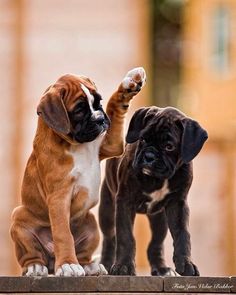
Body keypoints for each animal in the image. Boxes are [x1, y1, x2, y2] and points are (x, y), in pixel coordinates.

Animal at [10, 67, 146, 278]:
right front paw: (67, 264)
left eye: (98, 102)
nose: (100, 119)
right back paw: (36, 267)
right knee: (30, 255)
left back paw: (90, 266)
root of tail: (51, 261)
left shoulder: (111, 144)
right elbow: (63, 234)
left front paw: (129, 85)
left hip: (90, 222)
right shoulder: (59, 198)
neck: (74, 144)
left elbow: (115, 109)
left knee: (83, 253)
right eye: (79, 110)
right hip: (19, 215)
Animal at [98, 107, 207, 278]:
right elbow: (125, 236)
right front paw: (123, 266)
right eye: (143, 139)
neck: (158, 179)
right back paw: (106, 264)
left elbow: (182, 234)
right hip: (107, 210)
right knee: (109, 238)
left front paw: (186, 264)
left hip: (159, 219)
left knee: (156, 243)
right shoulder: (124, 202)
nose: (149, 156)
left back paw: (161, 269)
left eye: (169, 146)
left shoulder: (178, 204)